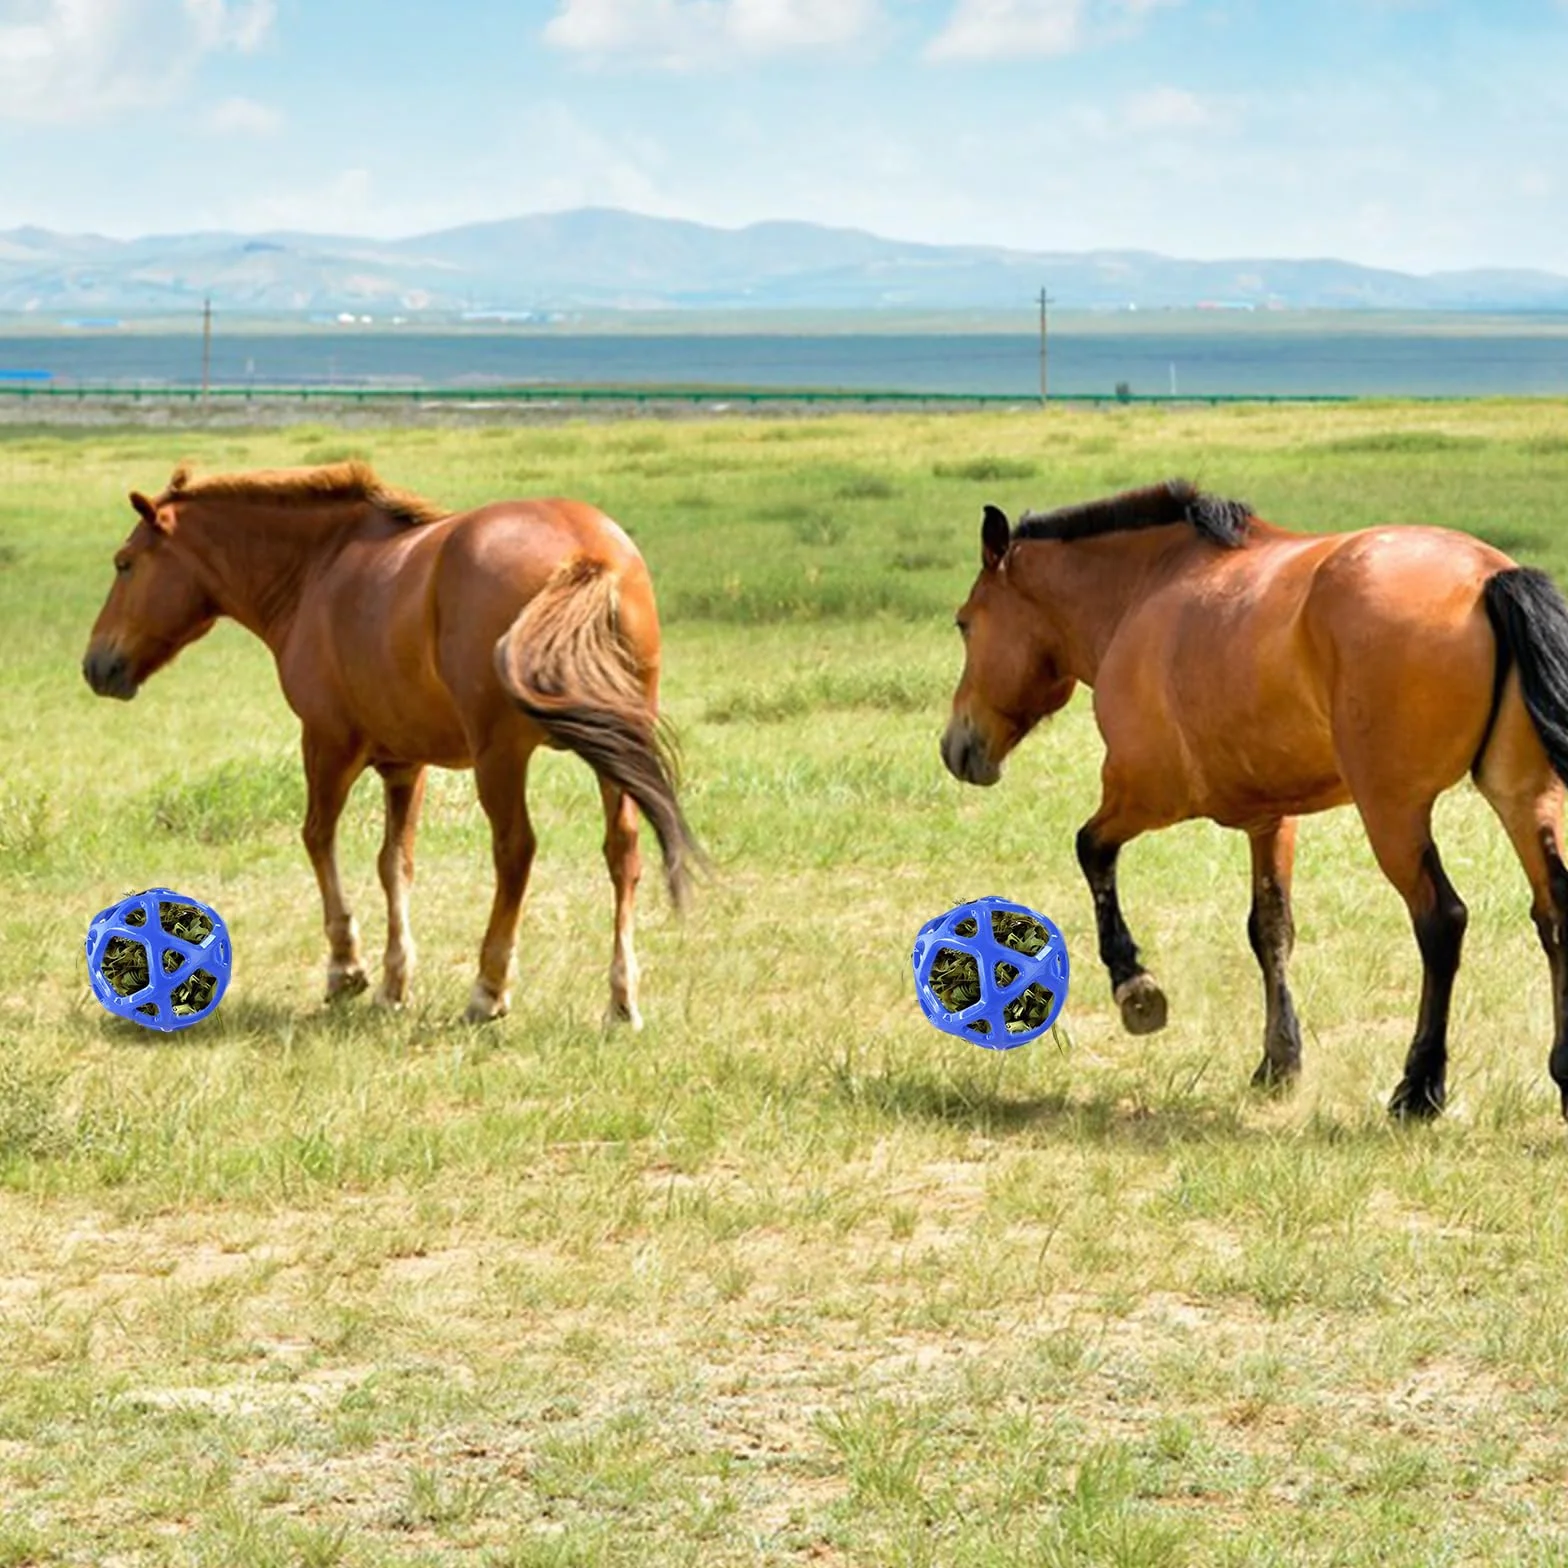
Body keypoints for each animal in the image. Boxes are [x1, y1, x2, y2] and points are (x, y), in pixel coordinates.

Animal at [83, 461, 700, 1027]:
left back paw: (489, 988)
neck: (318, 570)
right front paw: (393, 981)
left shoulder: (326, 742)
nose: (95, 666)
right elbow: (394, 863)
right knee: (623, 853)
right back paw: (622, 1000)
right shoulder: (406, 764)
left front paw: (347, 968)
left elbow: (318, 838)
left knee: (515, 852)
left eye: (124, 563)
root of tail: (586, 554)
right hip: (614, 748)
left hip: (501, 758)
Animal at [941, 478, 1568, 1119]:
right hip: (1522, 798)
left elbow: (1090, 850)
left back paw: (1418, 1088)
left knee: (1441, 921)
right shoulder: (1271, 819)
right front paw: (1279, 1059)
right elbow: (1270, 929)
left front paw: (1134, 985)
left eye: (964, 623)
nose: (957, 746)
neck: (1146, 590)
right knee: (1555, 913)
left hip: (1393, 814)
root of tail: (1489, 577)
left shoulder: (1143, 793)